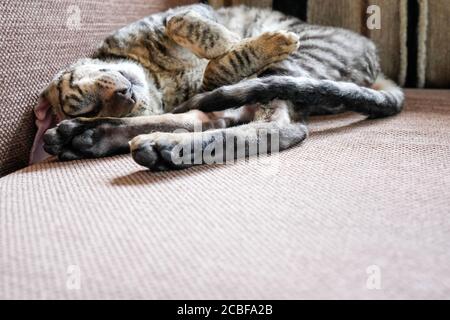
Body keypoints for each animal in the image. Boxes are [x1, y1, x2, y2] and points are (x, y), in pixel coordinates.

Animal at [32, 3, 404, 172]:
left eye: (85, 93)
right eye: (89, 104)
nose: (124, 95)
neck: (158, 80)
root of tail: (377, 63)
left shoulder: (187, 13)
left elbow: (189, 27)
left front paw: (235, 40)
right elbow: (217, 70)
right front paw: (238, 46)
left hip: (294, 63)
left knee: (258, 121)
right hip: (279, 78)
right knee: (263, 125)